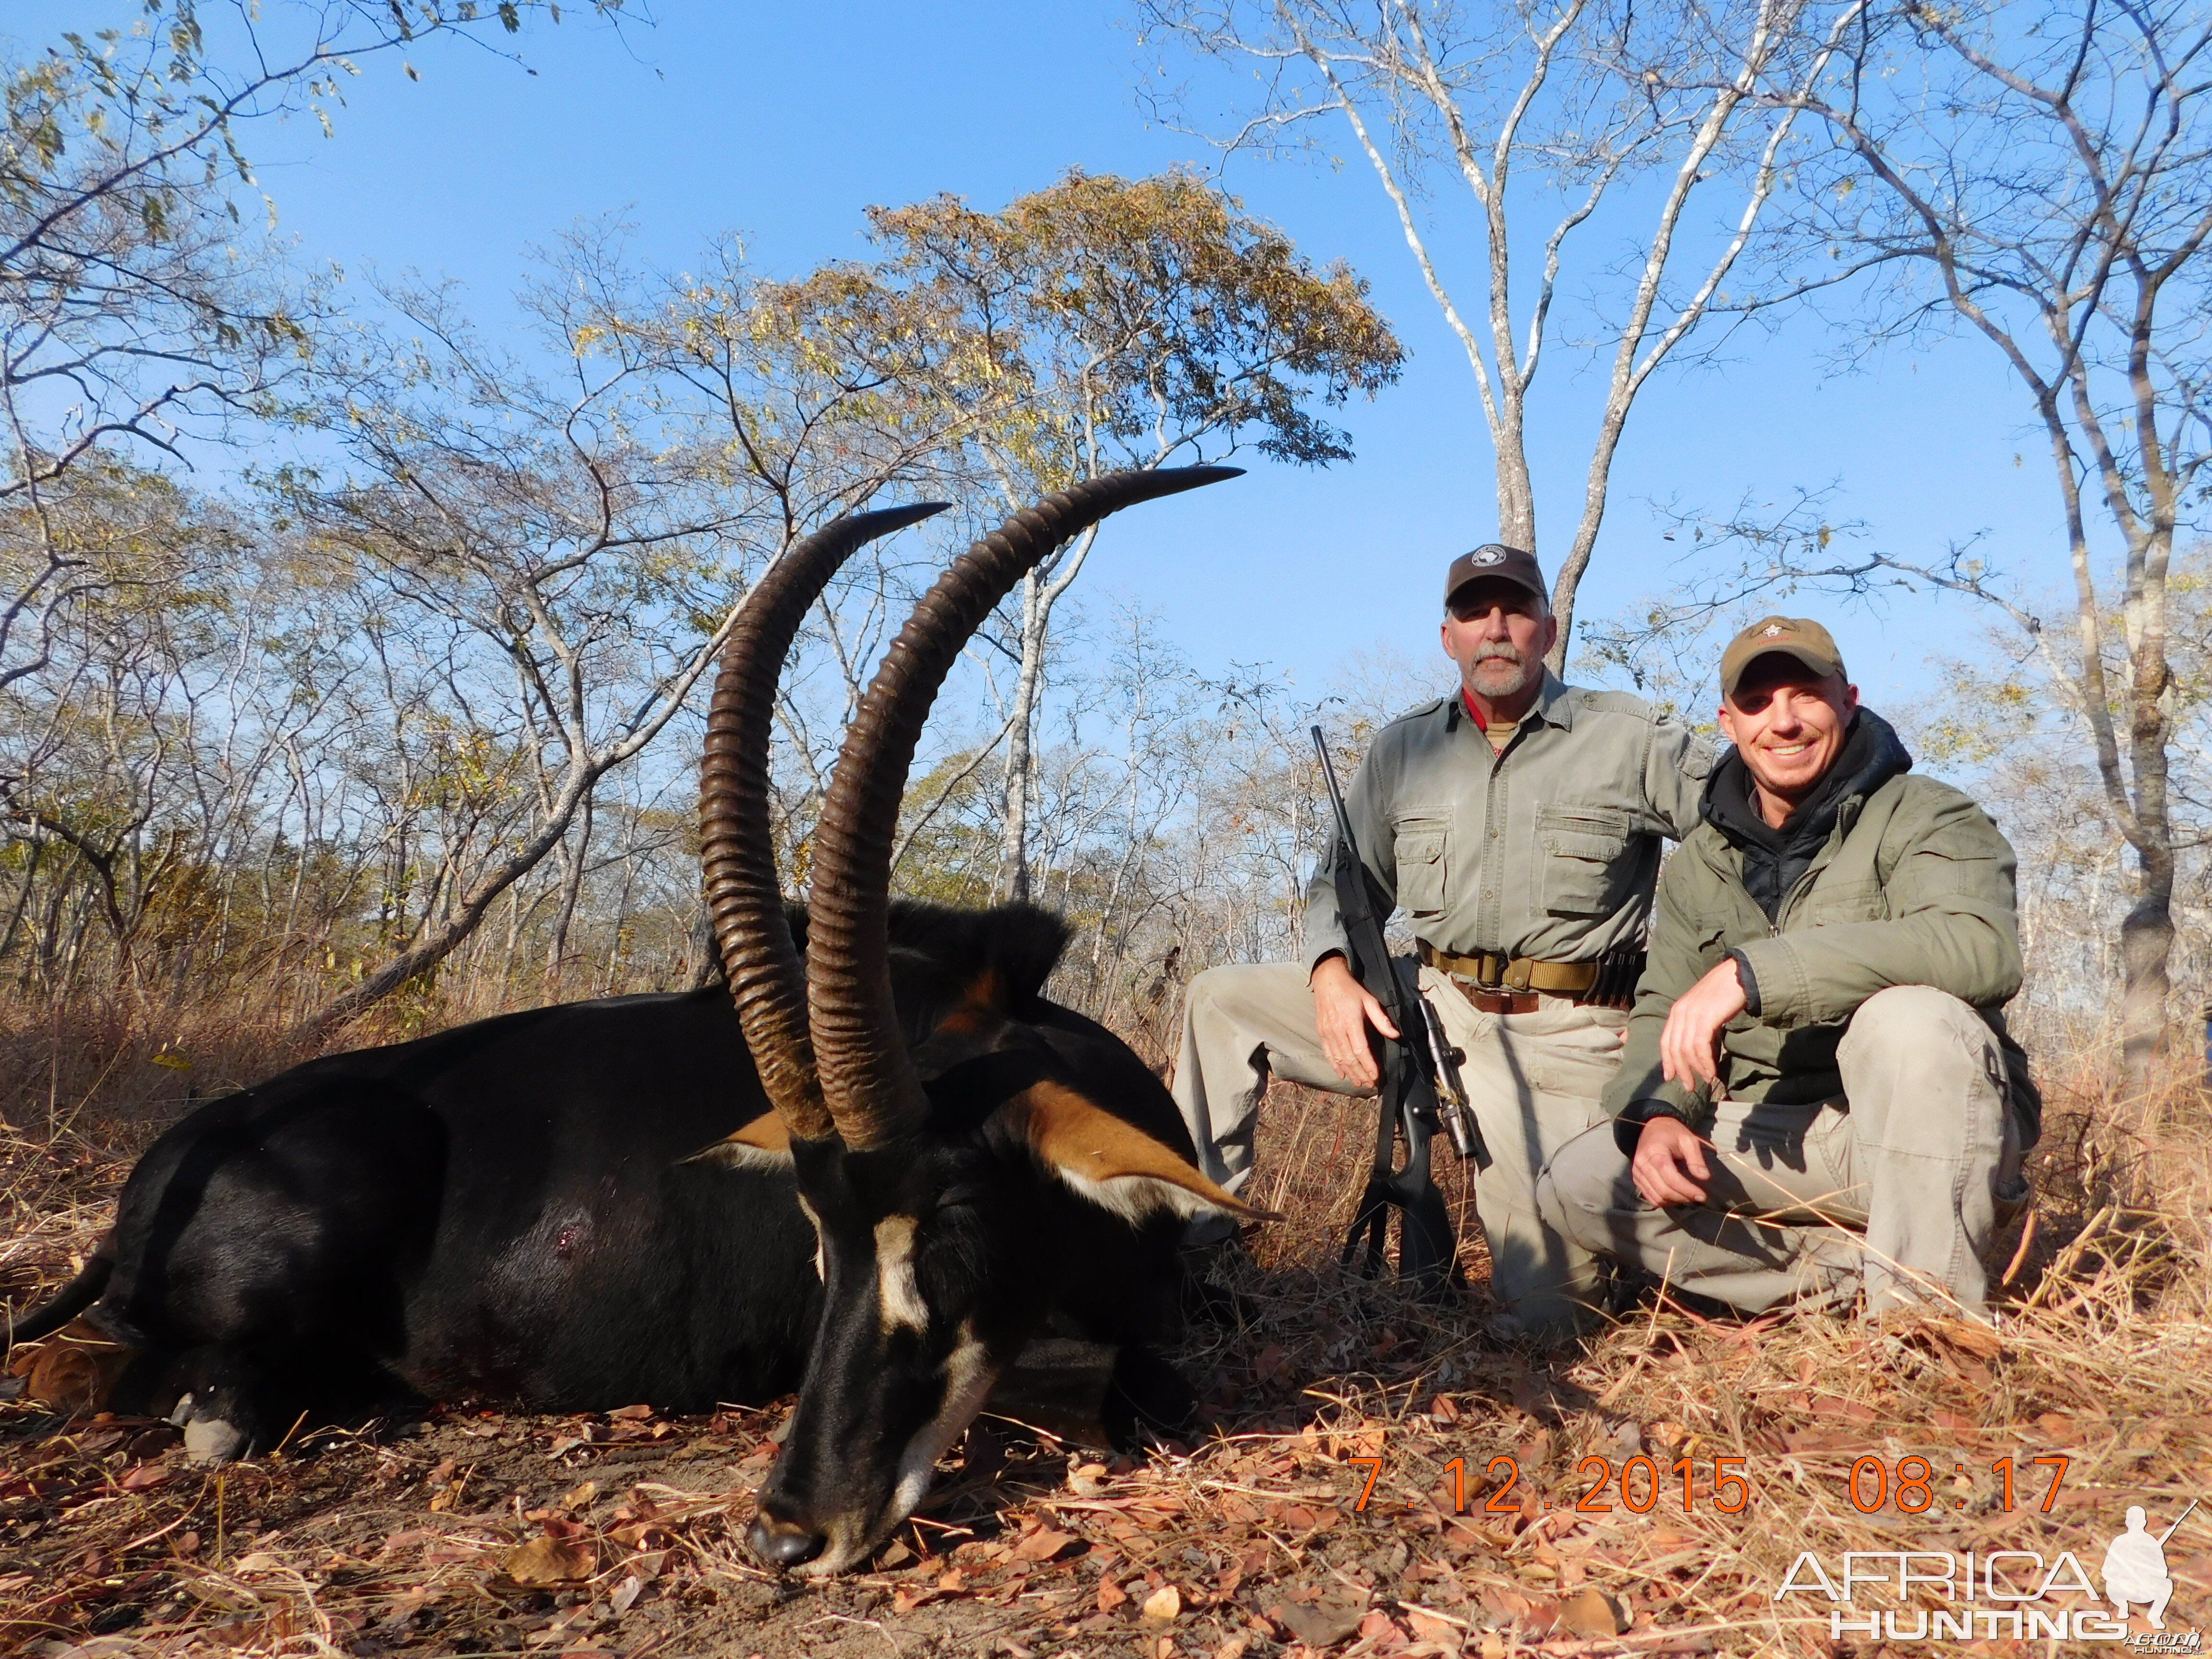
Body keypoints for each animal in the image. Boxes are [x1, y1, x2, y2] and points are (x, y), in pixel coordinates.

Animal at [9, 464, 1265, 1575]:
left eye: (949, 1223)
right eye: (820, 1238)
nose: (789, 1534)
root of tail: (176, 1156)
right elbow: (1116, 1385)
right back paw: (227, 1409)